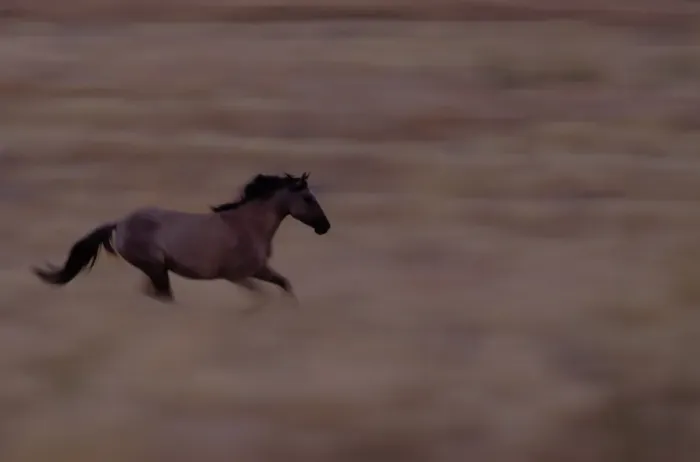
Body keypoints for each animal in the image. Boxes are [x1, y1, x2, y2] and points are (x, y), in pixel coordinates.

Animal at [32, 172, 330, 303]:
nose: (325, 227)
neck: (247, 226)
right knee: (163, 296)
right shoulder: (237, 275)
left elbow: (285, 285)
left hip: (156, 269)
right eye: (308, 198)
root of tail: (119, 223)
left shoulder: (260, 269)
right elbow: (261, 296)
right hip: (155, 268)